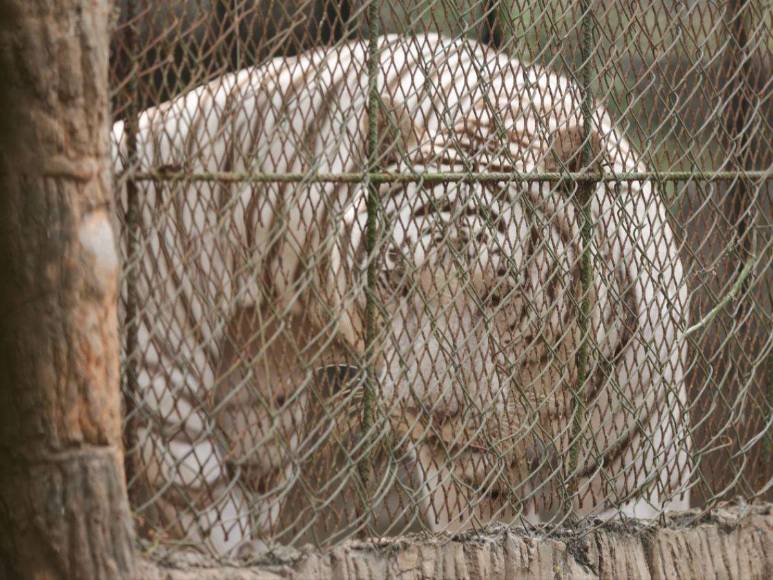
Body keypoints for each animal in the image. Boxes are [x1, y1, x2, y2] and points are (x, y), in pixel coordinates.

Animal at [112, 33, 692, 555]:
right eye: (396, 279)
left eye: (497, 295)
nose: (428, 408)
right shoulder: (462, 467)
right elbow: (479, 524)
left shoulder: (642, 446)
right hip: (173, 403)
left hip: (257, 406)